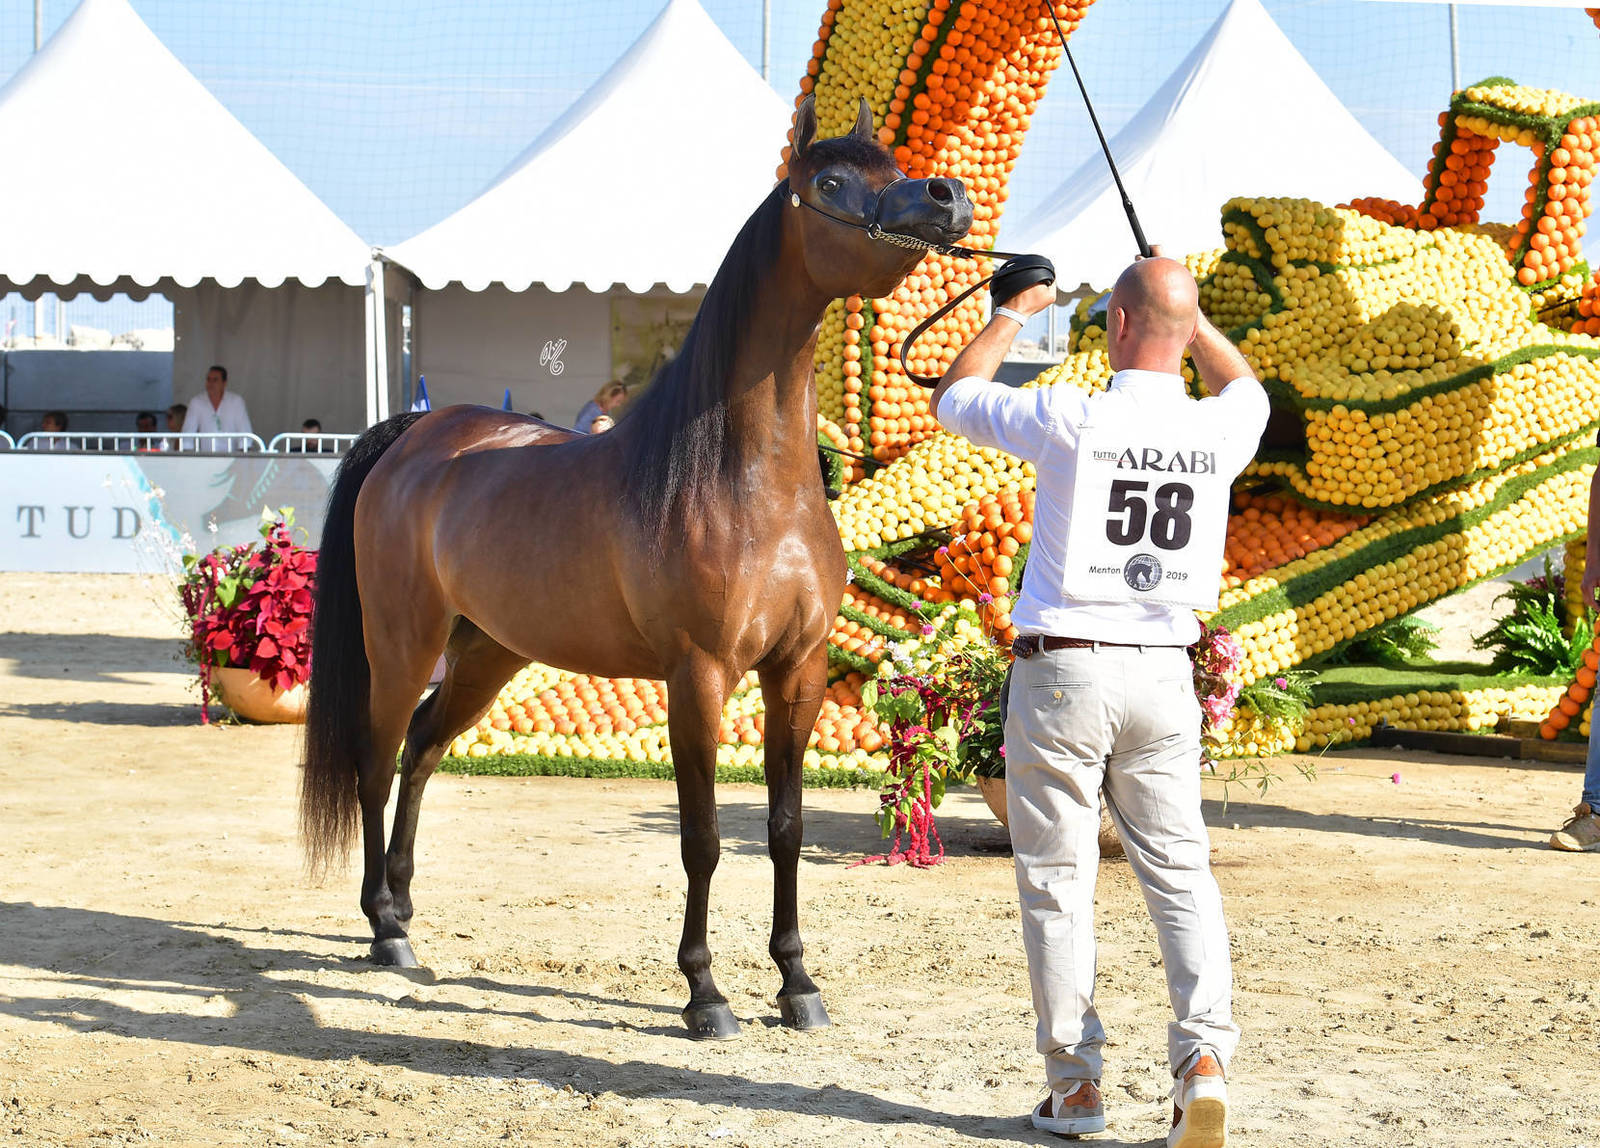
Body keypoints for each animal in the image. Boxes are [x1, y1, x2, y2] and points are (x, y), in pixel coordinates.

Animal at [299, 95, 973, 1040]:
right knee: (376, 755)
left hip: (489, 651)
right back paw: (382, 934)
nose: (947, 198)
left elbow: (785, 827)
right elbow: (702, 840)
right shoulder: (698, 677)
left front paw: (797, 985)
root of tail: (418, 435)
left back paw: (401, 911)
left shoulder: (797, 672)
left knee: (423, 751)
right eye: (833, 183)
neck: (744, 481)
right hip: (404, 644)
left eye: (898, 166)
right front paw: (706, 994)